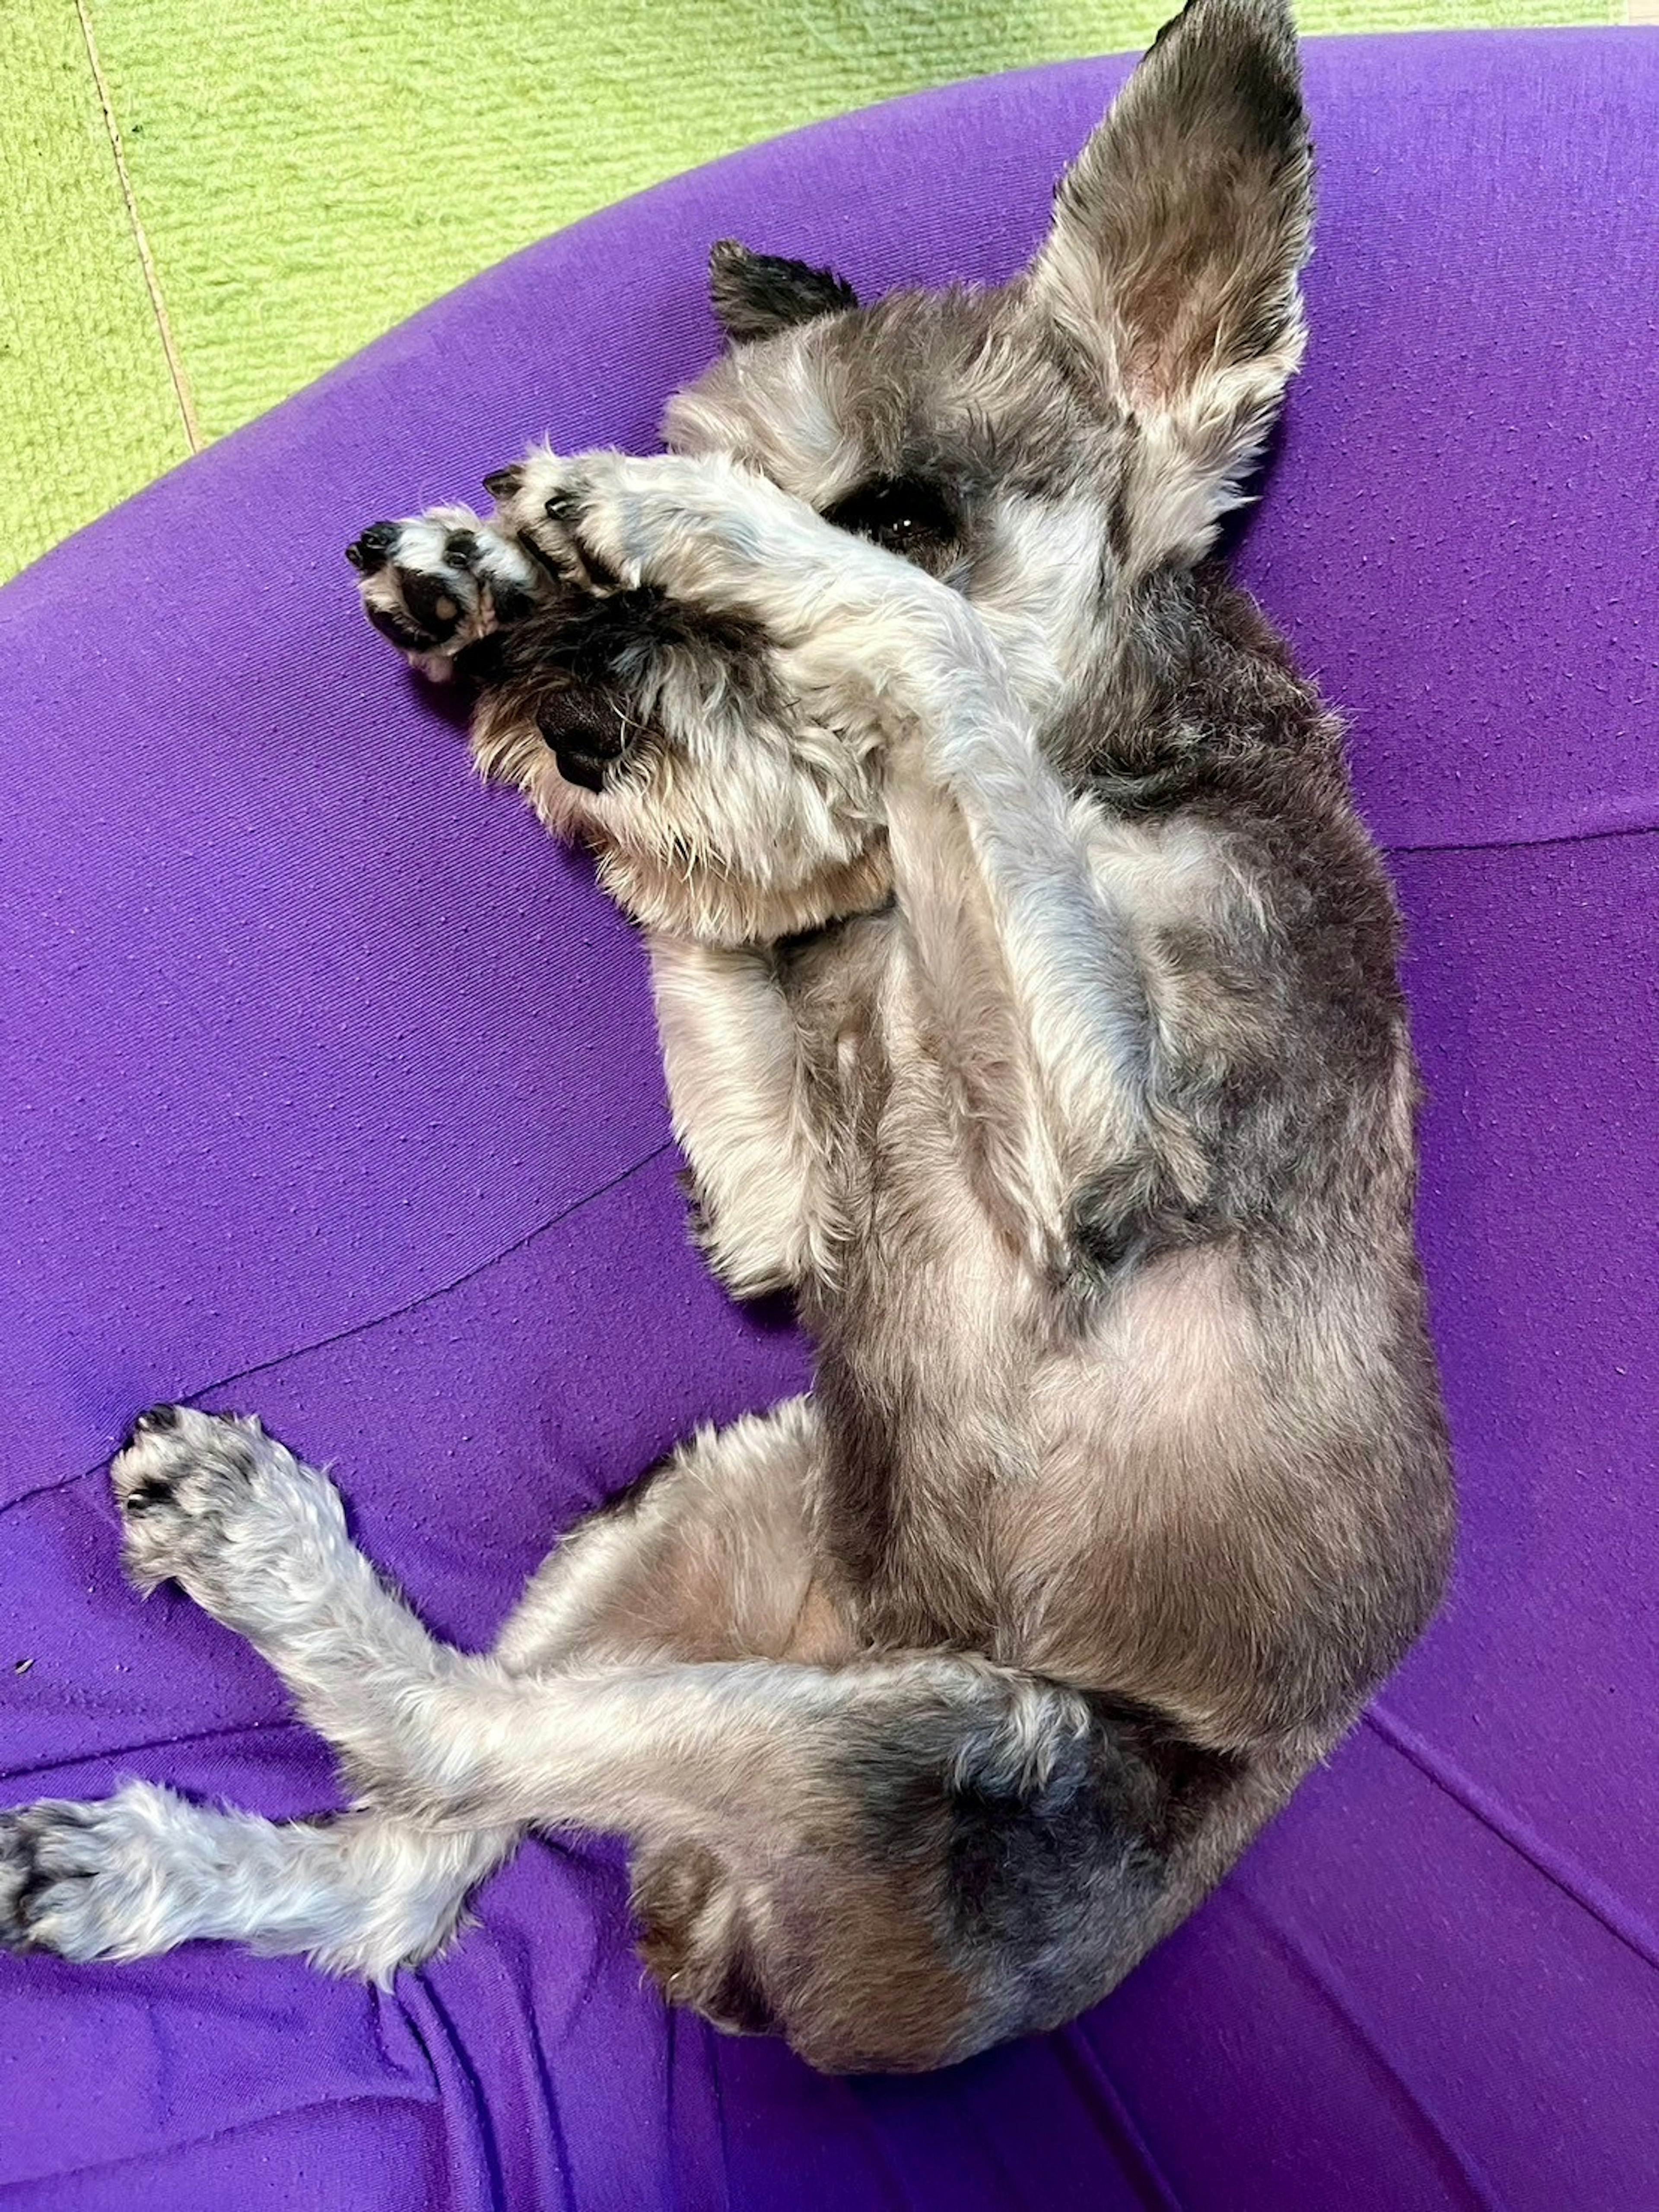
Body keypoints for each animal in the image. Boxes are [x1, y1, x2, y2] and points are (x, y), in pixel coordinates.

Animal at [0, 0, 1451, 2070]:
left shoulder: (1114, 1135)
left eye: (905, 507)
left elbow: (930, 652)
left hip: (921, 1749)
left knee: (459, 1747)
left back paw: (255, 1543)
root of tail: (729, 1946)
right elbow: (708, 947)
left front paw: (662, 532)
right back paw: (151, 1834)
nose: (579, 717)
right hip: (704, 1512)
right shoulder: (781, 1210)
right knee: (417, 1858)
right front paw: (481, 584)